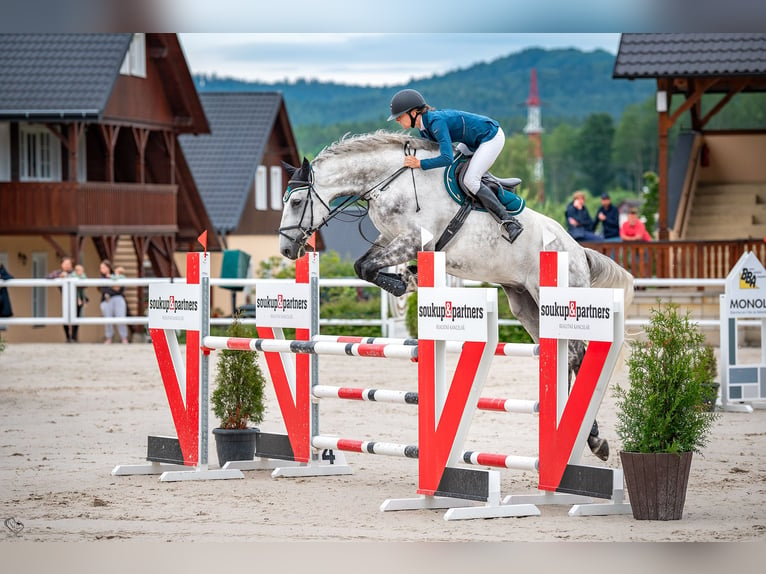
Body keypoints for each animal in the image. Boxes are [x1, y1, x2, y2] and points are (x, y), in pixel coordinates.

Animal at [280, 132, 632, 464]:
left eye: (296, 202)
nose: (285, 249)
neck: (391, 180)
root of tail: (578, 250)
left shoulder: (412, 240)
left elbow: (367, 267)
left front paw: (406, 281)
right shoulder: (389, 239)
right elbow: (361, 265)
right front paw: (407, 280)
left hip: (553, 297)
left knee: (578, 354)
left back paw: (588, 437)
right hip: (526, 305)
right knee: (570, 356)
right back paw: (584, 436)